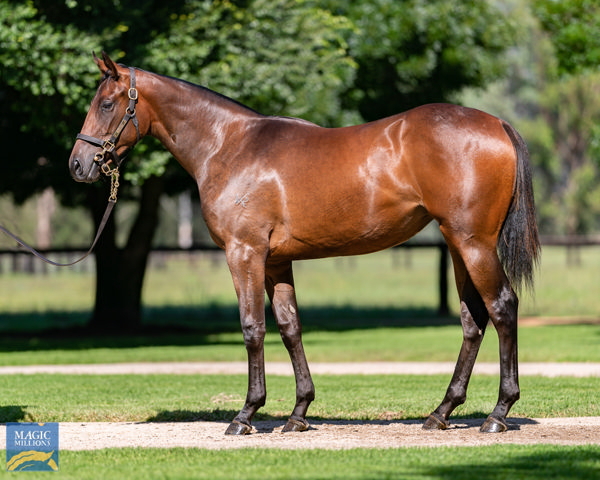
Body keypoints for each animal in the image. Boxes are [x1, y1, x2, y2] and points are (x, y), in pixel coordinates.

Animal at [69, 52, 540, 436]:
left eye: (106, 104)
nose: (77, 165)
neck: (229, 146)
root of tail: (496, 124)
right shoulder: (276, 263)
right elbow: (289, 327)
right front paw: (298, 413)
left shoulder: (244, 254)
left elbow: (252, 328)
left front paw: (246, 415)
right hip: (459, 245)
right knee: (472, 320)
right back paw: (442, 412)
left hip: (474, 244)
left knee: (502, 308)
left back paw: (498, 413)